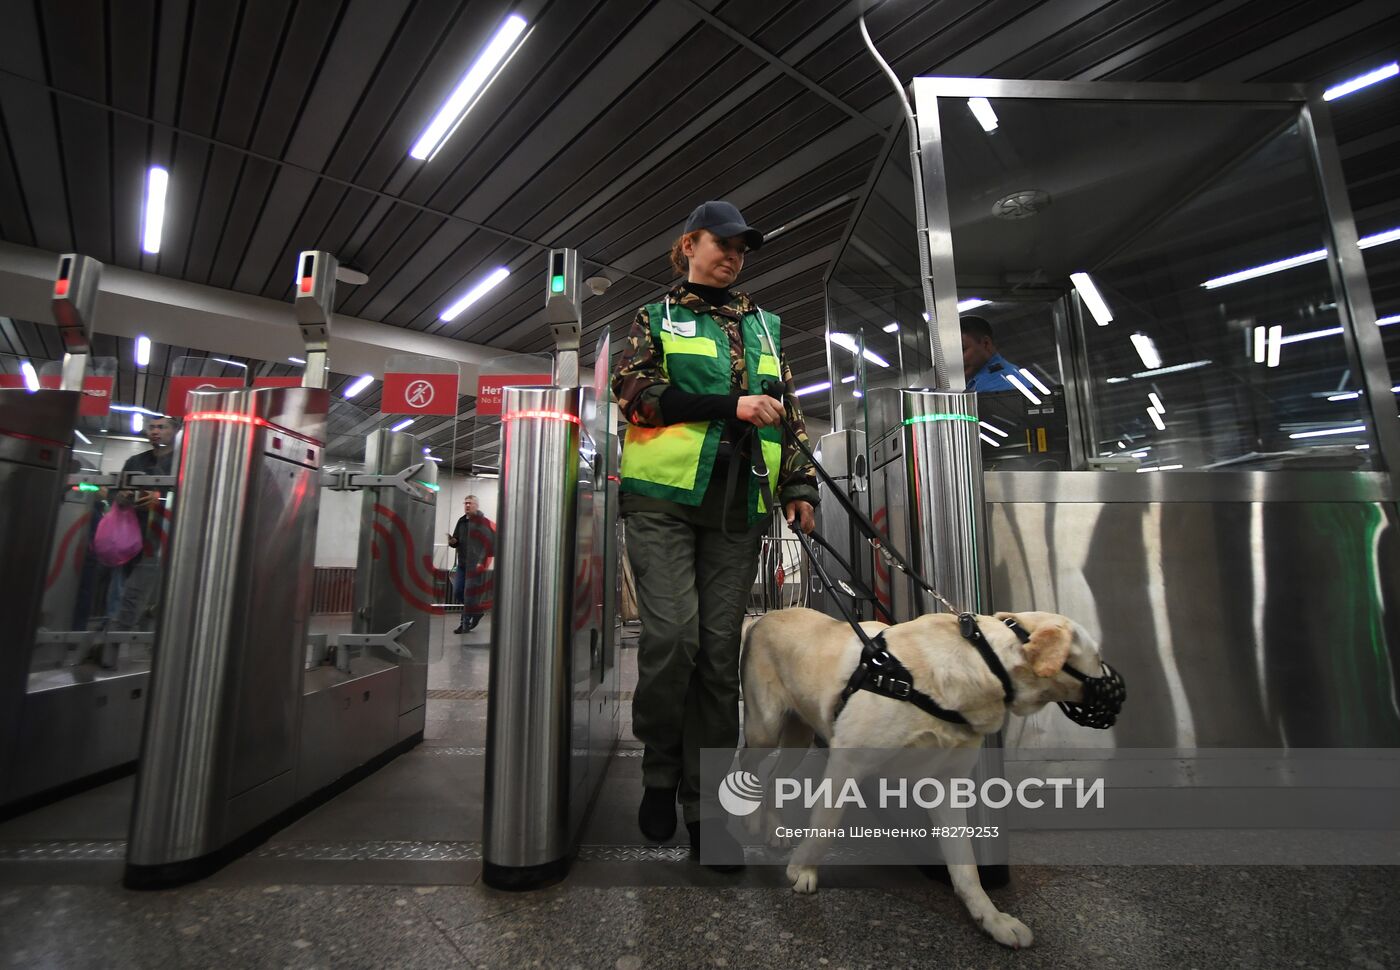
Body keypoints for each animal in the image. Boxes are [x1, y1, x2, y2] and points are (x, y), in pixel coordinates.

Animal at [739, 604, 1108, 946]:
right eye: (1098, 656)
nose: (1119, 691)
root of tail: (768, 614)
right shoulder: (847, 764)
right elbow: (823, 829)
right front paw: (802, 870)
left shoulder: (946, 785)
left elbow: (966, 866)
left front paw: (991, 918)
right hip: (765, 729)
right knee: (746, 762)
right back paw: (747, 817)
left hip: (797, 738)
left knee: (773, 777)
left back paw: (773, 828)